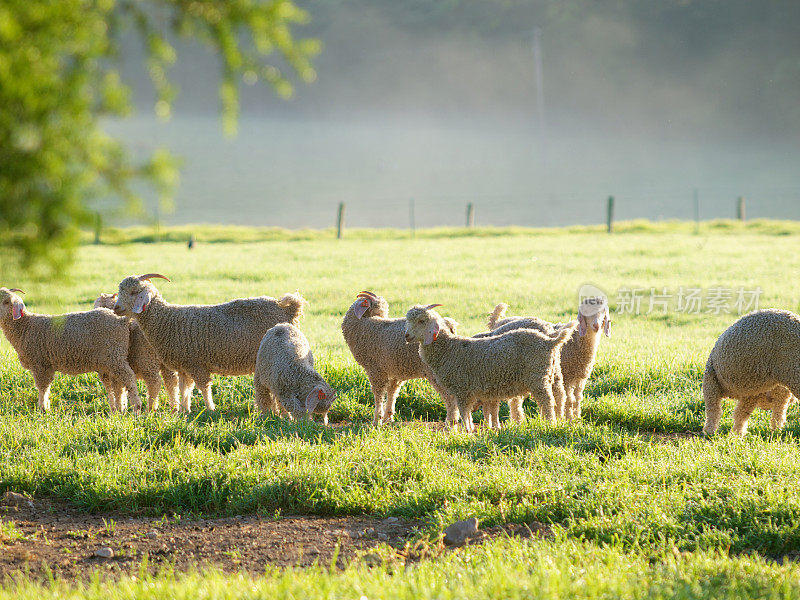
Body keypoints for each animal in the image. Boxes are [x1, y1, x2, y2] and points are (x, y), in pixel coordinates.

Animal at [0, 288, 141, 412]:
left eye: (6, 302)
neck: (25, 326)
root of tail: (121, 320)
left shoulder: (40, 365)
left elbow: (42, 388)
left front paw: (42, 409)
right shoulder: (46, 366)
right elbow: (46, 388)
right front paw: (46, 407)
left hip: (115, 356)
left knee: (129, 378)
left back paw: (136, 407)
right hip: (111, 360)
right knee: (119, 385)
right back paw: (119, 409)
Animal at [114, 276, 308, 412]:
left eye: (134, 292)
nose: (116, 308)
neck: (168, 321)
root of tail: (291, 308)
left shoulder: (197, 364)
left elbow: (204, 388)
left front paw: (210, 409)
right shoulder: (184, 366)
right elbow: (185, 389)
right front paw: (185, 410)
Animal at [340, 290, 460, 426]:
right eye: (377, 309)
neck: (364, 323)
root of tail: (448, 324)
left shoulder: (375, 370)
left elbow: (378, 394)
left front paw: (377, 420)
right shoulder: (395, 370)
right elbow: (392, 393)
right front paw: (388, 418)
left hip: (436, 372)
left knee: (450, 397)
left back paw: (451, 424)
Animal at [406, 304, 576, 432]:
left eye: (422, 321)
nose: (407, 336)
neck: (449, 348)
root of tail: (549, 341)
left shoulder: (462, 389)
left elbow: (464, 412)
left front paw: (467, 431)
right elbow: (480, 411)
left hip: (538, 377)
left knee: (547, 401)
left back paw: (549, 423)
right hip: (552, 374)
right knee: (559, 396)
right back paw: (559, 420)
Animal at [482, 298, 612, 420]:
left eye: (603, 312)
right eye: (586, 311)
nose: (596, 325)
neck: (576, 341)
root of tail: (497, 322)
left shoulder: (580, 379)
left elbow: (577, 399)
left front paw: (577, 419)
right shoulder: (566, 378)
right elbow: (569, 400)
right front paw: (569, 420)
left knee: (515, 400)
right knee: (514, 401)